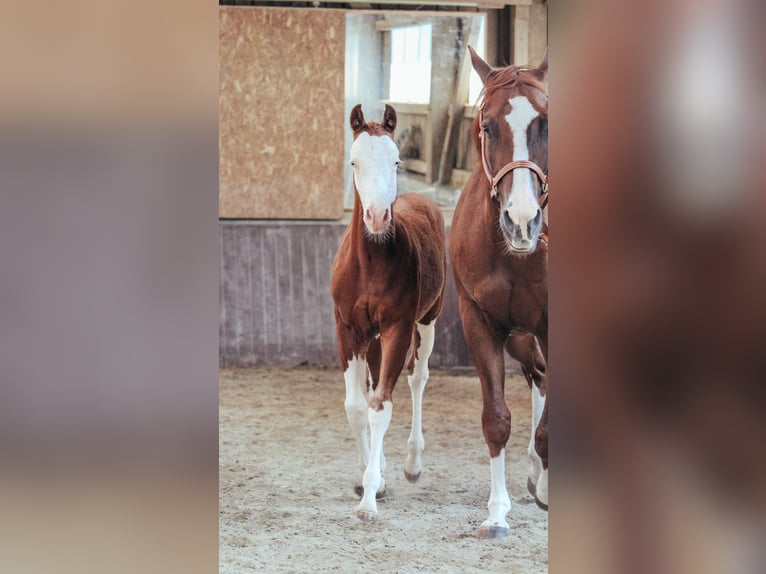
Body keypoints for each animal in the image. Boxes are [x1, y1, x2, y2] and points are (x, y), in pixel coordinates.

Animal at [331, 103, 447, 523]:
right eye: (354, 161)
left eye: (396, 160)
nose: (377, 217)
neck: (371, 265)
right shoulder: (348, 328)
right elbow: (356, 406)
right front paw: (371, 480)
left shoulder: (398, 327)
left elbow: (381, 406)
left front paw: (368, 500)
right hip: (373, 336)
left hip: (428, 319)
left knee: (417, 378)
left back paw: (412, 464)